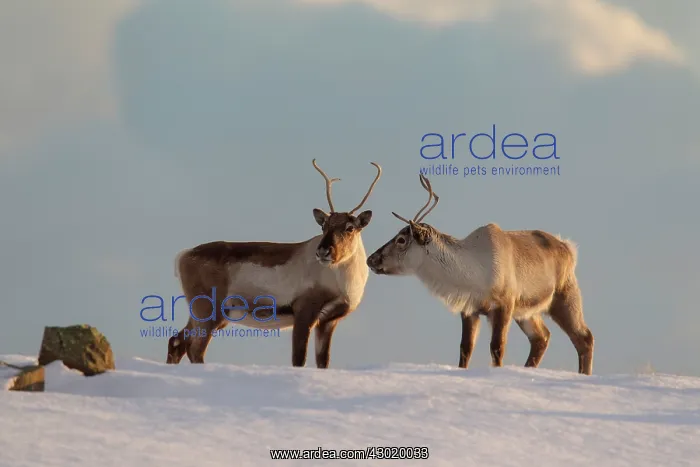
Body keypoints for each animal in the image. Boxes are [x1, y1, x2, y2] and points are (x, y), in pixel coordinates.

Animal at [166, 159, 382, 368]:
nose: (323, 251)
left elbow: (323, 362)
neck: (343, 284)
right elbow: (298, 359)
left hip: (207, 313)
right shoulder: (304, 311)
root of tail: (183, 256)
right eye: (324, 226)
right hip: (208, 309)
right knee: (194, 348)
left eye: (350, 227)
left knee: (177, 341)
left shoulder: (329, 320)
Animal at [366, 175, 594, 375]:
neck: (474, 275)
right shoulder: (469, 309)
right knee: (541, 337)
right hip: (527, 312)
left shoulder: (504, 305)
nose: (371, 259)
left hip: (564, 297)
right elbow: (465, 349)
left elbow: (497, 347)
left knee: (584, 337)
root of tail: (568, 248)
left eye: (401, 239)